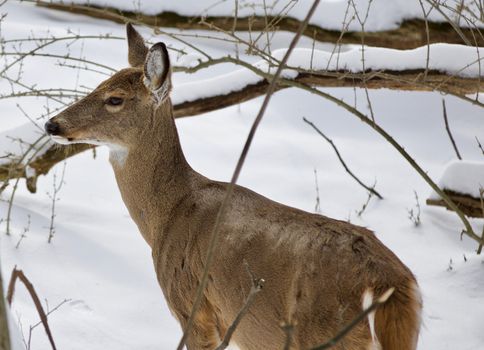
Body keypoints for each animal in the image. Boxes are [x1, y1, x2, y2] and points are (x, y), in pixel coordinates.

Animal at [45, 24, 422, 350]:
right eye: (99, 85)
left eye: (115, 99)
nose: (52, 124)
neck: (168, 215)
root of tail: (388, 282)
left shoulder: (192, 304)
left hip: (325, 331)